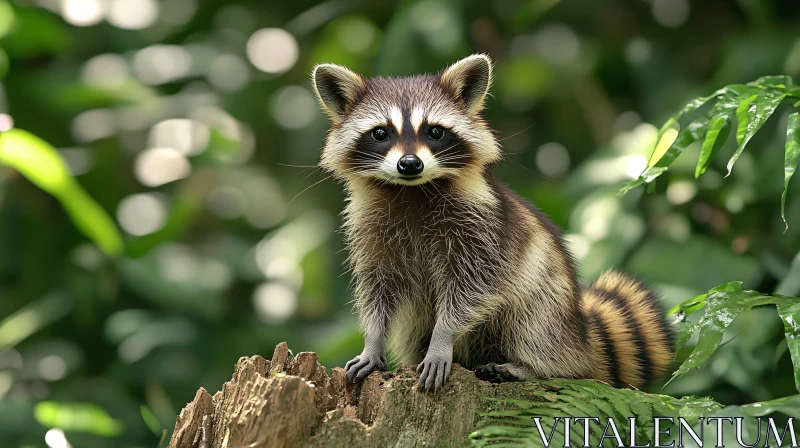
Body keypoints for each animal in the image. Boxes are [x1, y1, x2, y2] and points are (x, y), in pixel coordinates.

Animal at [310, 55, 672, 392]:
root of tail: (582, 337)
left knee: (534, 325)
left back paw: (531, 367)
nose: (409, 164)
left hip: (550, 300)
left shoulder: (482, 227)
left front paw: (441, 340)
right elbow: (377, 287)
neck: (413, 190)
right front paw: (372, 341)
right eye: (381, 133)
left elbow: (471, 287)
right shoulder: (370, 227)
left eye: (435, 131)